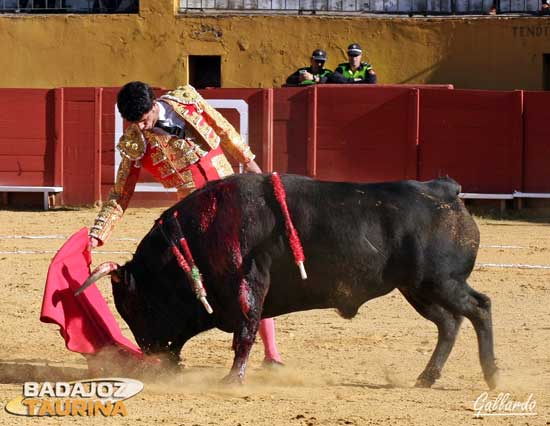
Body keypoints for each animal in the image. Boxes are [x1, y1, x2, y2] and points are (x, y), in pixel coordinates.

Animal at [81, 173, 500, 390]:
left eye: (137, 305)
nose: (150, 353)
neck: (192, 241)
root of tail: (446, 191)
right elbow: (246, 330)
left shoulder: (247, 284)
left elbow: (246, 331)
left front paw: (232, 380)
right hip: (418, 289)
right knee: (449, 323)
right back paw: (426, 378)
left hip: (441, 281)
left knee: (479, 308)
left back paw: (492, 376)